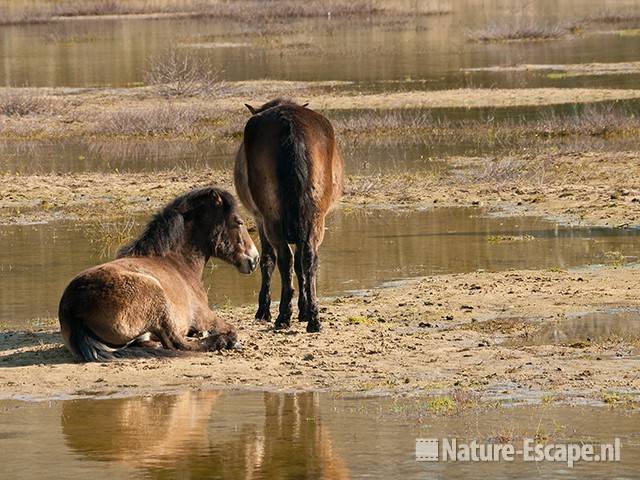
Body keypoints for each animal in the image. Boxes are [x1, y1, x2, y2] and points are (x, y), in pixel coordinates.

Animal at [58, 187, 258, 360]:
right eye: (238, 221)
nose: (254, 259)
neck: (177, 262)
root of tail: (72, 307)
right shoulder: (205, 316)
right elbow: (232, 329)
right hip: (159, 301)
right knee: (175, 342)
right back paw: (222, 341)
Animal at [235, 97, 344, 330]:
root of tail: (289, 123)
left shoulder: (260, 219)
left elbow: (268, 261)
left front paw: (264, 310)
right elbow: (301, 265)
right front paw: (304, 310)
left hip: (272, 220)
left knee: (284, 258)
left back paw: (283, 316)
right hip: (315, 217)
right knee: (309, 257)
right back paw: (313, 318)